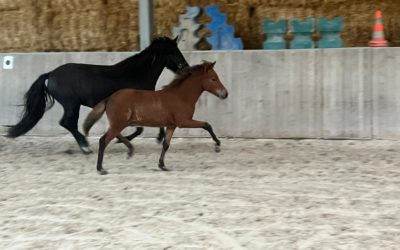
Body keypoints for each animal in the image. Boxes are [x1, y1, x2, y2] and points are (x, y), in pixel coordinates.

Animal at [5, 36, 188, 153]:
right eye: (174, 52)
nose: (185, 67)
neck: (136, 74)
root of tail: (51, 74)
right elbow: (140, 128)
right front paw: (122, 140)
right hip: (71, 105)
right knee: (67, 123)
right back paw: (85, 146)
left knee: (69, 124)